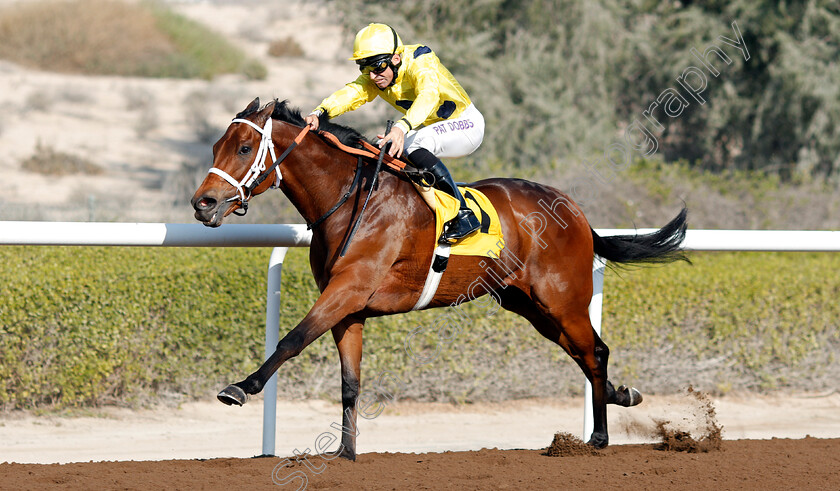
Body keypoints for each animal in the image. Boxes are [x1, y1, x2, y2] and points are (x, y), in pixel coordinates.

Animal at [192, 98, 688, 460]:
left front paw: (241, 388)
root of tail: (575, 210)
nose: (203, 203)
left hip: (561, 298)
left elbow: (292, 339)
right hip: (528, 304)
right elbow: (350, 381)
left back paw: (599, 438)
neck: (351, 199)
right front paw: (346, 453)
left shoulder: (348, 289)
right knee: (585, 353)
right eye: (216, 146)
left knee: (594, 351)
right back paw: (623, 395)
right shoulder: (348, 306)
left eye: (243, 148)